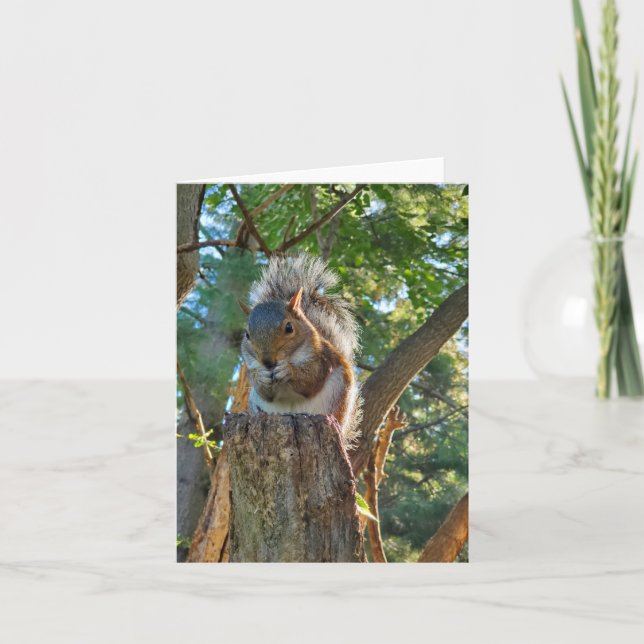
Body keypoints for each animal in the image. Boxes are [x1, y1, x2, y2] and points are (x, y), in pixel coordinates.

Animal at [239, 254, 361, 445]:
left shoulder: (321, 358)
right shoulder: (251, 366)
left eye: (289, 328)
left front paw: (288, 371)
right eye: (247, 334)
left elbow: (311, 379)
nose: (268, 362)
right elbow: (265, 392)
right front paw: (262, 377)